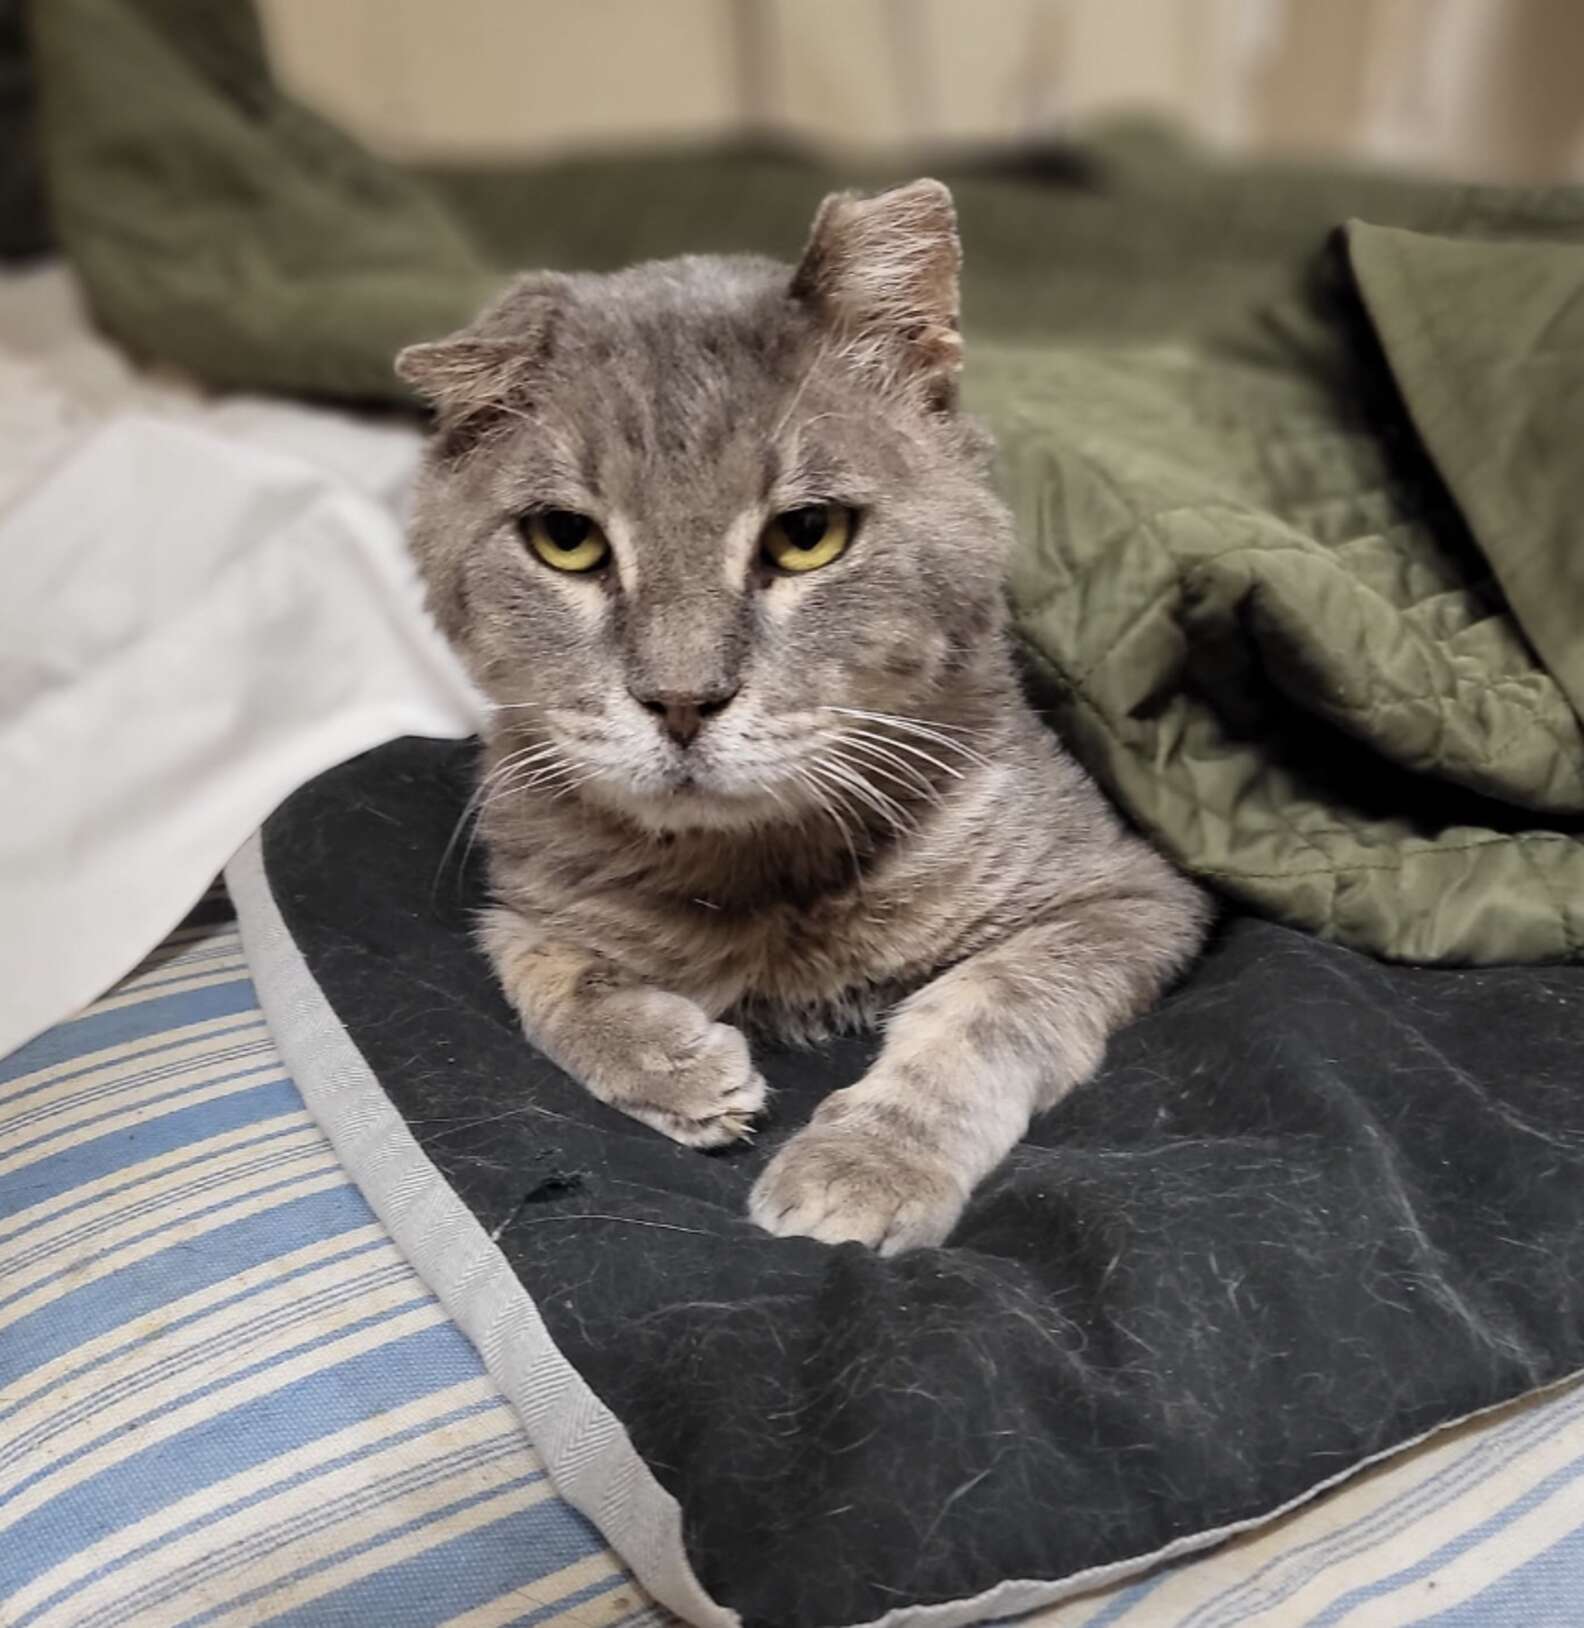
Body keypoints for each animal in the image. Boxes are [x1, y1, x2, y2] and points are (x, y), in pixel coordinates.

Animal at [398, 178, 1211, 1250]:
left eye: (808, 534)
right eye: (566, 540)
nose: (682, 700)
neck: (756, 874)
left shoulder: (1130, 899)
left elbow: (986, 1002)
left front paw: (865, 1163)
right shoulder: (521, 886)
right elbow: (543, 968)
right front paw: (673, 1064)